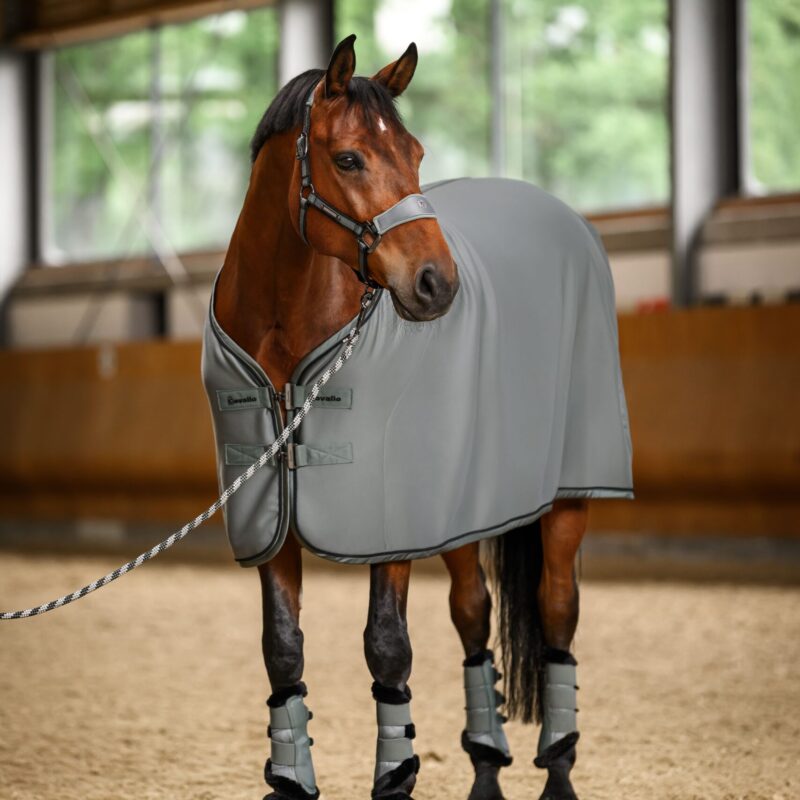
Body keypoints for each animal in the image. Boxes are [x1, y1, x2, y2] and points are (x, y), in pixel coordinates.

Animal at [208, 33, 632, 800]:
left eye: (416, 153)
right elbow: (282, 651)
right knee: (473, 614)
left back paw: (557, 768)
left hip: (567, 501)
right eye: (349, 158)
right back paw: (486, 769)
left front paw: (396, 777)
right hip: (461, 510)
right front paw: (292, 780)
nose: (438, 284)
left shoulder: (389, 525)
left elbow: (387, 648)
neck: (287, 332)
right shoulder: (268, 515)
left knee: (558, 612)